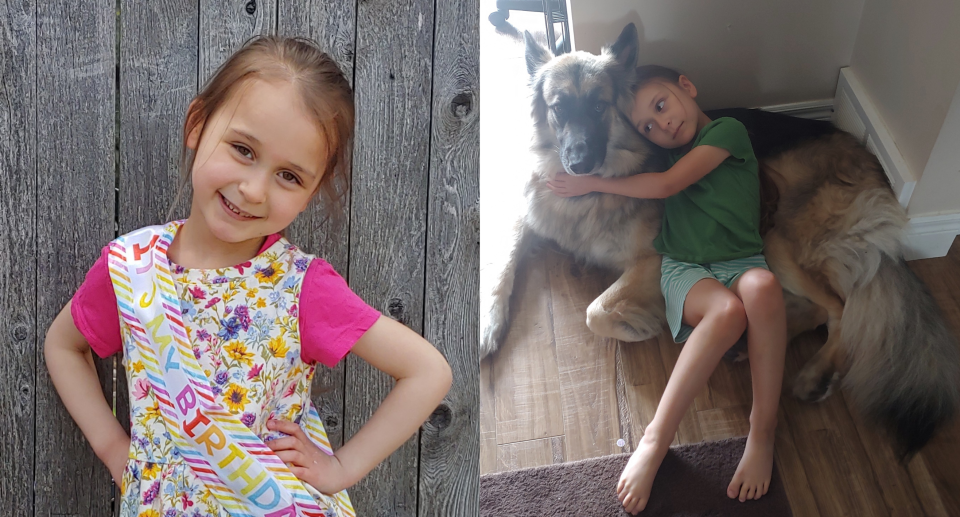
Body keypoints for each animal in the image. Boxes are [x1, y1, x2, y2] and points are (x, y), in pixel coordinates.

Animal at [480, 23, 960, 456]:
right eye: (558, 108)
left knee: (840, 308)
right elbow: (501, 265)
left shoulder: (654, 258)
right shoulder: (528, 214)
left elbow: (596, 310)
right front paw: (486, 326)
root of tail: (871, 164)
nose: (578, 164)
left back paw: (815, 372)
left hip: (774, 238)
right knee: (811, 308)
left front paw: (636, 325)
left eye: (599, 106)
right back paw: (753, 345)